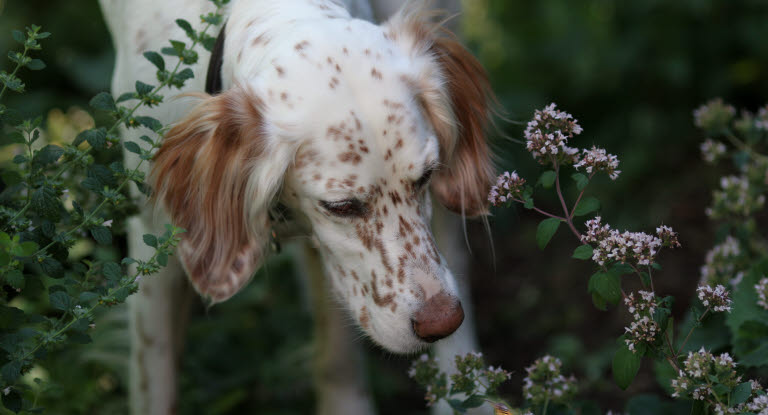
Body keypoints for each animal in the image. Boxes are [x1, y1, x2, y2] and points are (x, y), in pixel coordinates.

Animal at [97, 0, 492, 412]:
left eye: (426, 176)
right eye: (341, 206)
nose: (442, 322)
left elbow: (338, 360)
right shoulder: (153, 248)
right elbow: (154, 381)